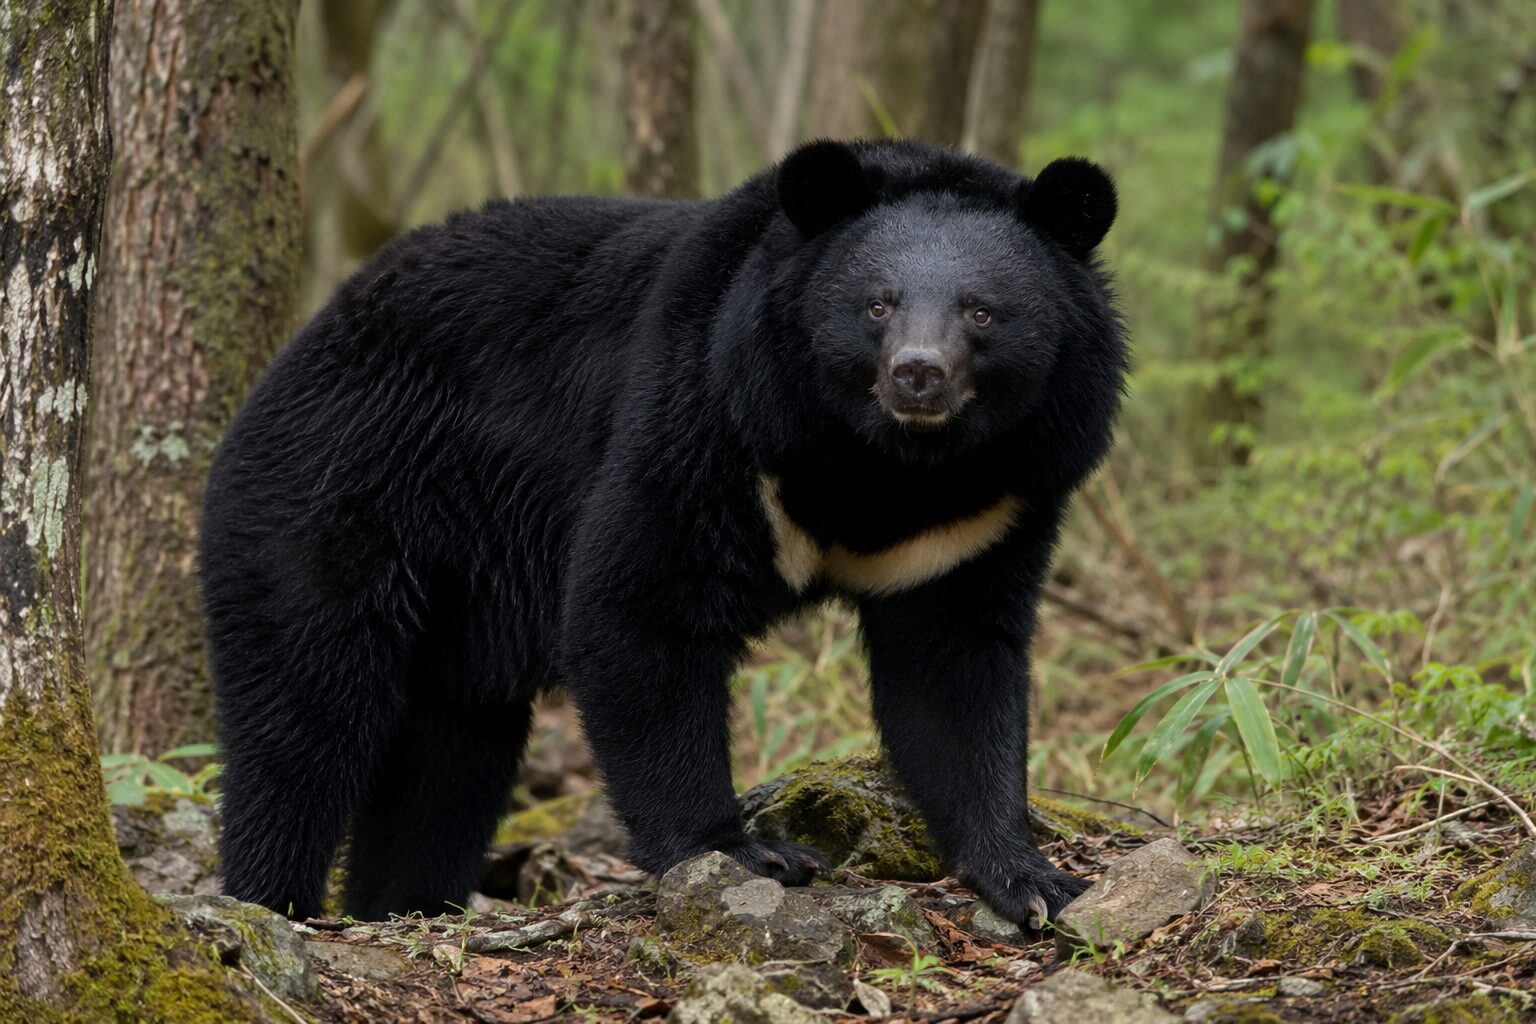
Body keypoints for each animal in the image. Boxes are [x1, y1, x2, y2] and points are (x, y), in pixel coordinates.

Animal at [200, 138, 1126, 927]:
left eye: (981, 312)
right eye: (876, 305)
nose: (918, 375)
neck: (889, 466)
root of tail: (304, 341)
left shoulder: (989, 509)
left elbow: (955, 673)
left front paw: (1031, 880)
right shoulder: (711, 413)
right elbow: (638, 605)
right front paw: (747, 853)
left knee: (449, 760)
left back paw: (404, 906)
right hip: (332, 497)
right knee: (307, 712)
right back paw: (275, 901)